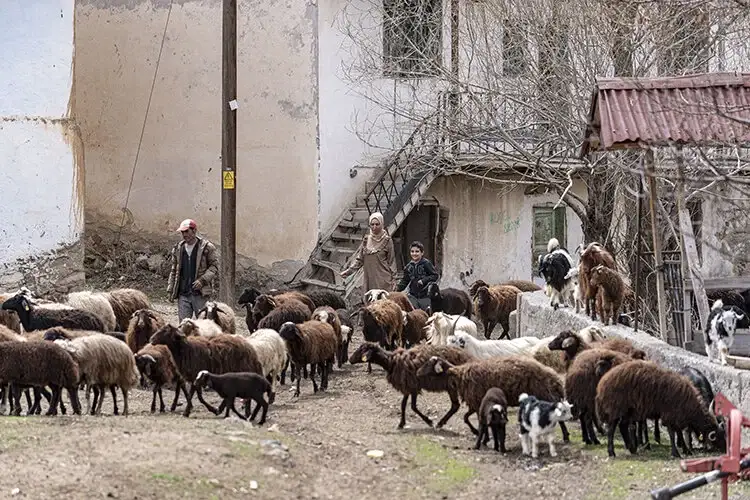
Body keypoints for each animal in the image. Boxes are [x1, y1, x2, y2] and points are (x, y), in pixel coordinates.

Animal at [418, 356, 568, 442]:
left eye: (428, 364)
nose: (418, 372)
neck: (460, 375)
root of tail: (555, 378)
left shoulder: (477, 401)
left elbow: (475, 420)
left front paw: (482, 437)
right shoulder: (476, 403)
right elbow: (466, 417)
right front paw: (478, 433)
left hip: (546, 394)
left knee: (558, 417)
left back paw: (565, 436)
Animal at [596, 360, 724, 458]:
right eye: (718, 435)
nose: (725, 449)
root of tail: (603, 382)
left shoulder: (675, 415)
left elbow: (677, 431)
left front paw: (685, 450)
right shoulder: (670, 413)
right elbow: (672, 433)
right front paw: (676, 452)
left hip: (628, 409)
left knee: (623, 426)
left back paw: (632, 449)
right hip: (616, 407)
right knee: (612, 429)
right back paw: (612, 452)